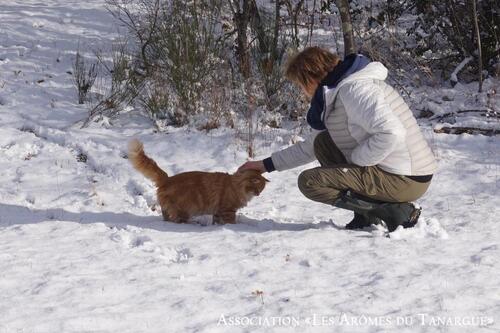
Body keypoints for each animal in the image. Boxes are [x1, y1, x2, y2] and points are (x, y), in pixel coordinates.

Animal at [130, 138, 270, 223]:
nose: (258, 194)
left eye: (261, 189)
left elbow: (216, 221)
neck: (236, 185)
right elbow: (230, 222)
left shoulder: (218, 211)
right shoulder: (228, 210)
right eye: (257, 188)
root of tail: (167, 179)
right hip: (183, 209)